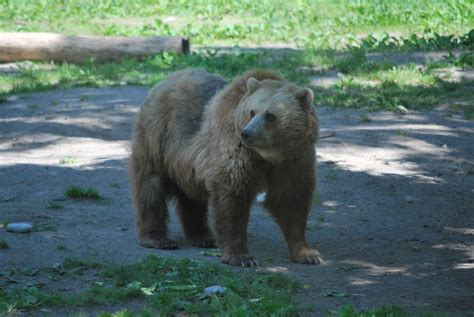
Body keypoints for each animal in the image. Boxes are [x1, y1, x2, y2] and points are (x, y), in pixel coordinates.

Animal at [130, 69, 322, 266]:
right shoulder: (235, 148)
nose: (247, 133)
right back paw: (159, 239)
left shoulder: (294, 161)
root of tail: (168, 78)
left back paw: (202, 237)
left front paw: (308, 254)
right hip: (158, 137)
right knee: (151, 188)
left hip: (187, 166)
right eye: (252, 112)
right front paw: (242, 257)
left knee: (192, 197)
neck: (268, 155)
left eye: (270, 115)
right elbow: (232, 198)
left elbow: (291, 199)